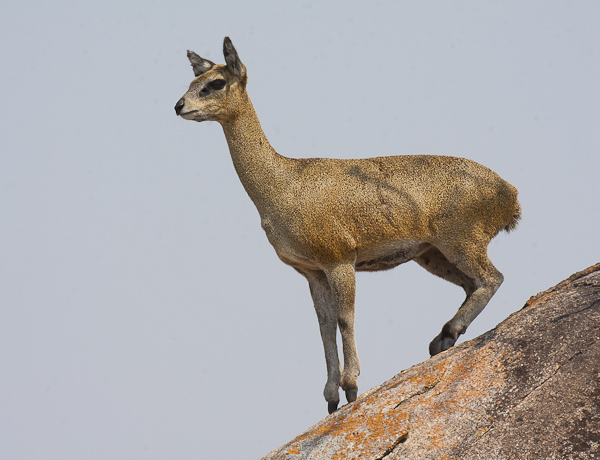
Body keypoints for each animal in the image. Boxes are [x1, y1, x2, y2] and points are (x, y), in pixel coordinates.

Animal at [173, 38, 520, 414]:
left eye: (216, 82)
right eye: (193, 79)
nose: (179, 106)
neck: (282, 186)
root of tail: (511, 195)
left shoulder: (339, 260)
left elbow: (345, 318)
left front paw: (351, 385)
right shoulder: (311, 271)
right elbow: (324, 326)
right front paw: (330, 397)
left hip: (460, 242)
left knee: (492, 278)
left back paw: (445, 333)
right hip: (431, 254)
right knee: (474, 285)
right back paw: (441, 339)